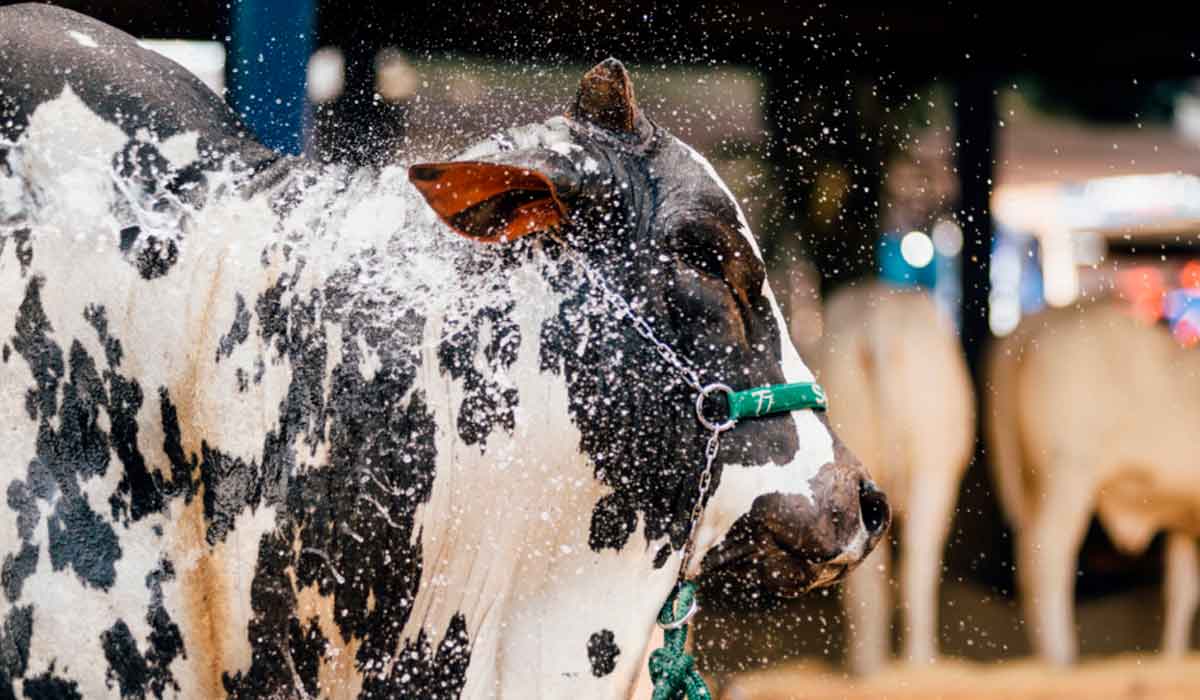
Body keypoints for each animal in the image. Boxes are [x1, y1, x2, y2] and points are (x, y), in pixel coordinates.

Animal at [984, 301, 1200, 662]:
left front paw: (1172, 658)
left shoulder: (1184, 519)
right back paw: (1061, 657)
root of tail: (1033, 325)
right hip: (1069, 474)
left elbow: (1182, 593)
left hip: (1033, 485)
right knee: (1047, 554)